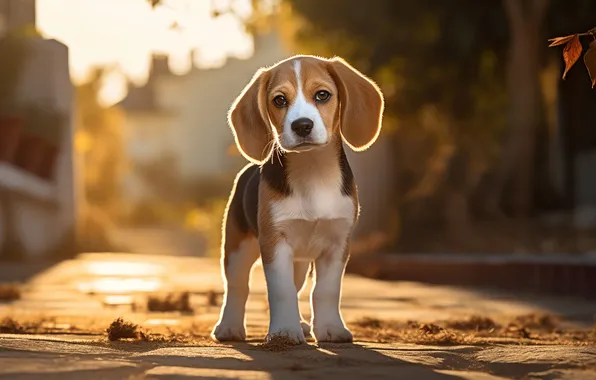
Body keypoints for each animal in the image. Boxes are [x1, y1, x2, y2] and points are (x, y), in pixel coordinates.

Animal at [212, 54, 384, 344]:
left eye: (322, 95)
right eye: (280, 100)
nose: (302, 125)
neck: (313, 170)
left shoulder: (337, 244)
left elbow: (326, 291)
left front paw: (330, 328)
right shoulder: (275, 242)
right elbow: (281, 291)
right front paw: (284, 332)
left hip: (300, 262)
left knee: (297, 285)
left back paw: (302, 324)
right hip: (237, 248)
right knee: (237, 286)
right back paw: (229, 327)